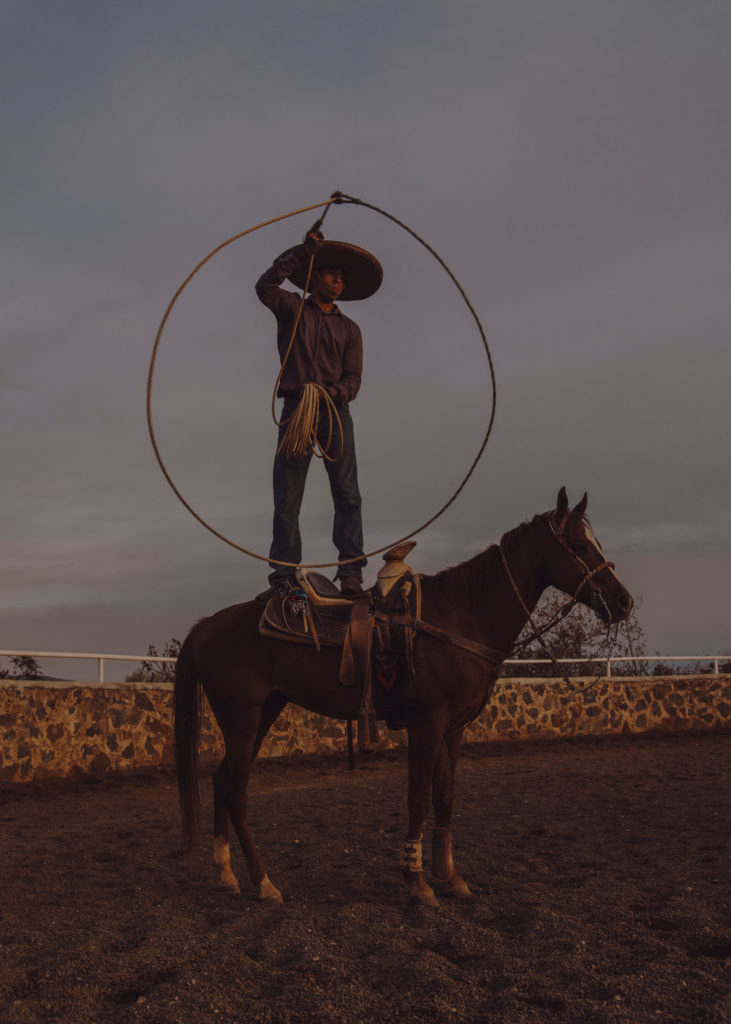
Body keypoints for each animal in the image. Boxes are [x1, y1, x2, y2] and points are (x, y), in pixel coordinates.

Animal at [174, 487, 630, 905]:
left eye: (595, 543)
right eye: (578, 546)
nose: (622, 601)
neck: (461, 619)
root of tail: (207, 625)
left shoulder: (453, 730)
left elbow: (445, 797)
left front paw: (450, 876)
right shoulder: (427, 724)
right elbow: (418, 797)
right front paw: (417, 881)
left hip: (264, 713)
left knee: (221, 782)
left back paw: (226, 873)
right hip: (242, 719)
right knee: (236, 792)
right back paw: (263, 881)